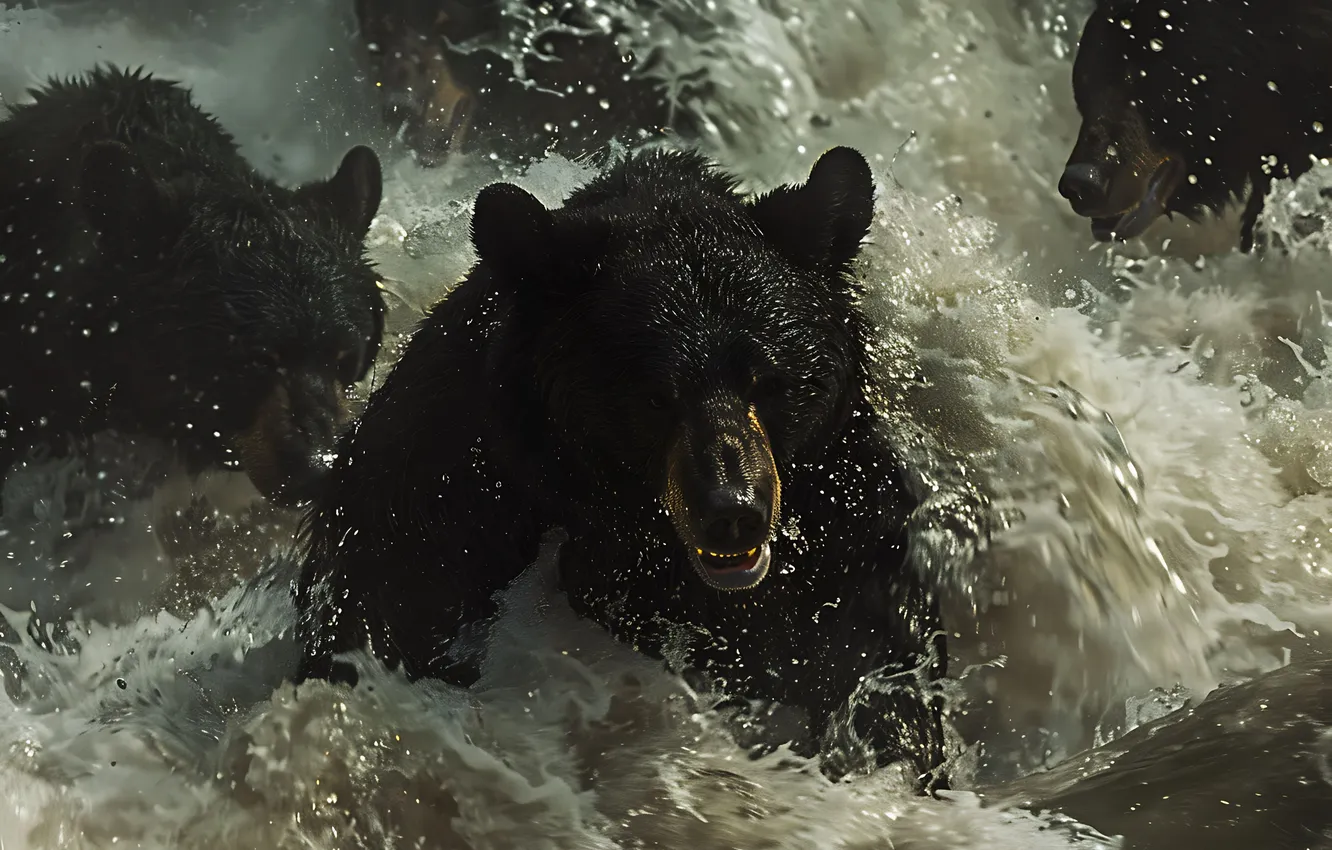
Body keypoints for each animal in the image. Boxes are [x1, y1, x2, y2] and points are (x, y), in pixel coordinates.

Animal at [293, 144, 951, 789]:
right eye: (656, 397)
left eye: (768, 382)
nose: (731, 512)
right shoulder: (434, 510)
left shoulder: (841, 516)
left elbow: (871, 654)